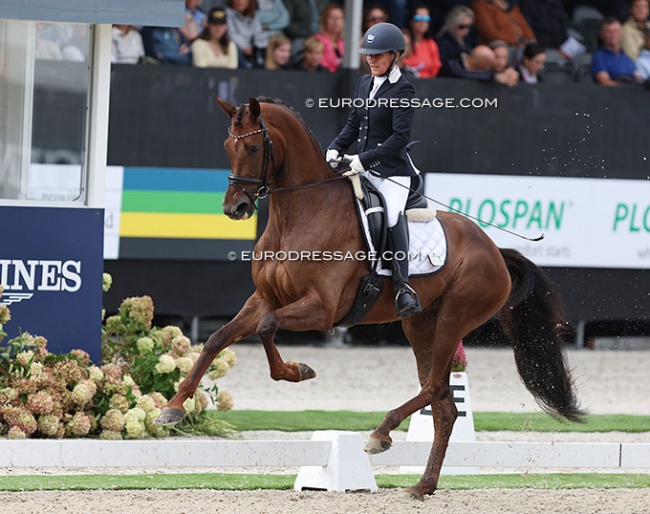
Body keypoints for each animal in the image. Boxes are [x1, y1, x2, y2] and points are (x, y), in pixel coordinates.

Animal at [156, 95, 584, 496]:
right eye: (228, 144)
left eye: (254, 146)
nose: (236, 208)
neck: (298, 213)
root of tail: (495, 249)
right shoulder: (263, 297)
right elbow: (216, 339)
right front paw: (173, 409)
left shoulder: (322, 309)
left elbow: (267, 327)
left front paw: (297, 371)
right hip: (420, 324)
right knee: (444, 406)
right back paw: (422, 485)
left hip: (454, 318)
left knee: (434, 388)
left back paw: (381, 435)